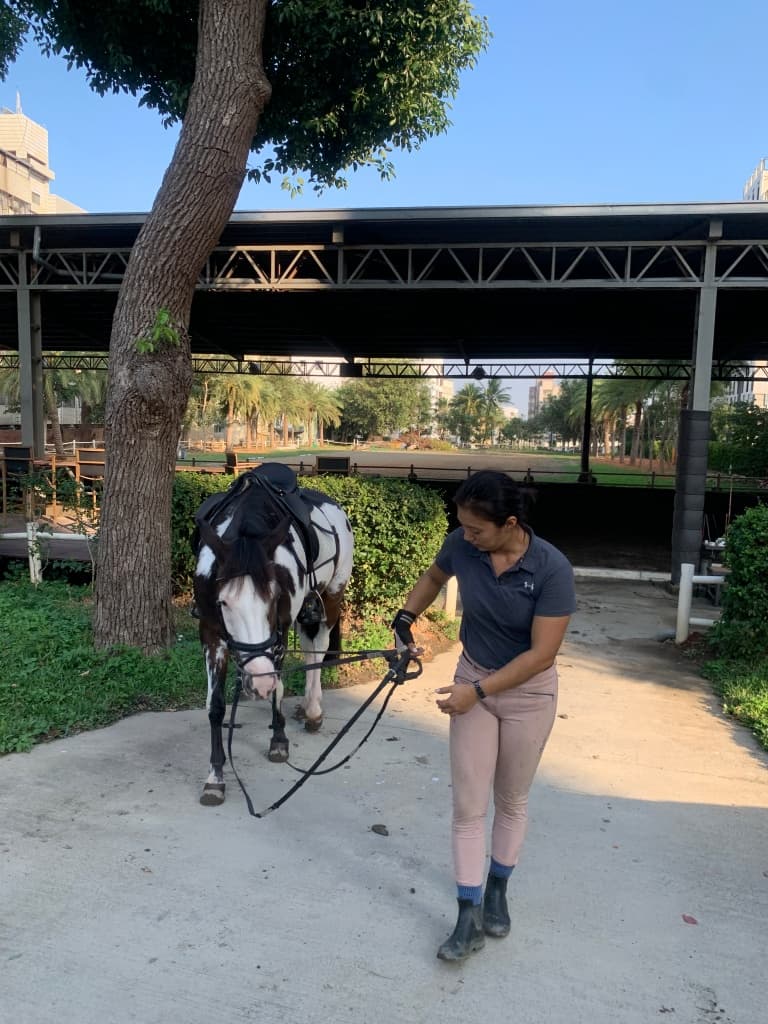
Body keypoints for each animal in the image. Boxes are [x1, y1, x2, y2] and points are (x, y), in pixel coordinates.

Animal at [192, 463, 354, 807]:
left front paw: (279, 740)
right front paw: (215, 778)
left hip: (332, 595)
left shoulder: (278, 632)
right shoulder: (210, 633)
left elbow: (279, 686)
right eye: (223, 602)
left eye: (274, 597)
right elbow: (215, 706)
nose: (258, 680)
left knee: (317, 647)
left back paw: (314, 711)